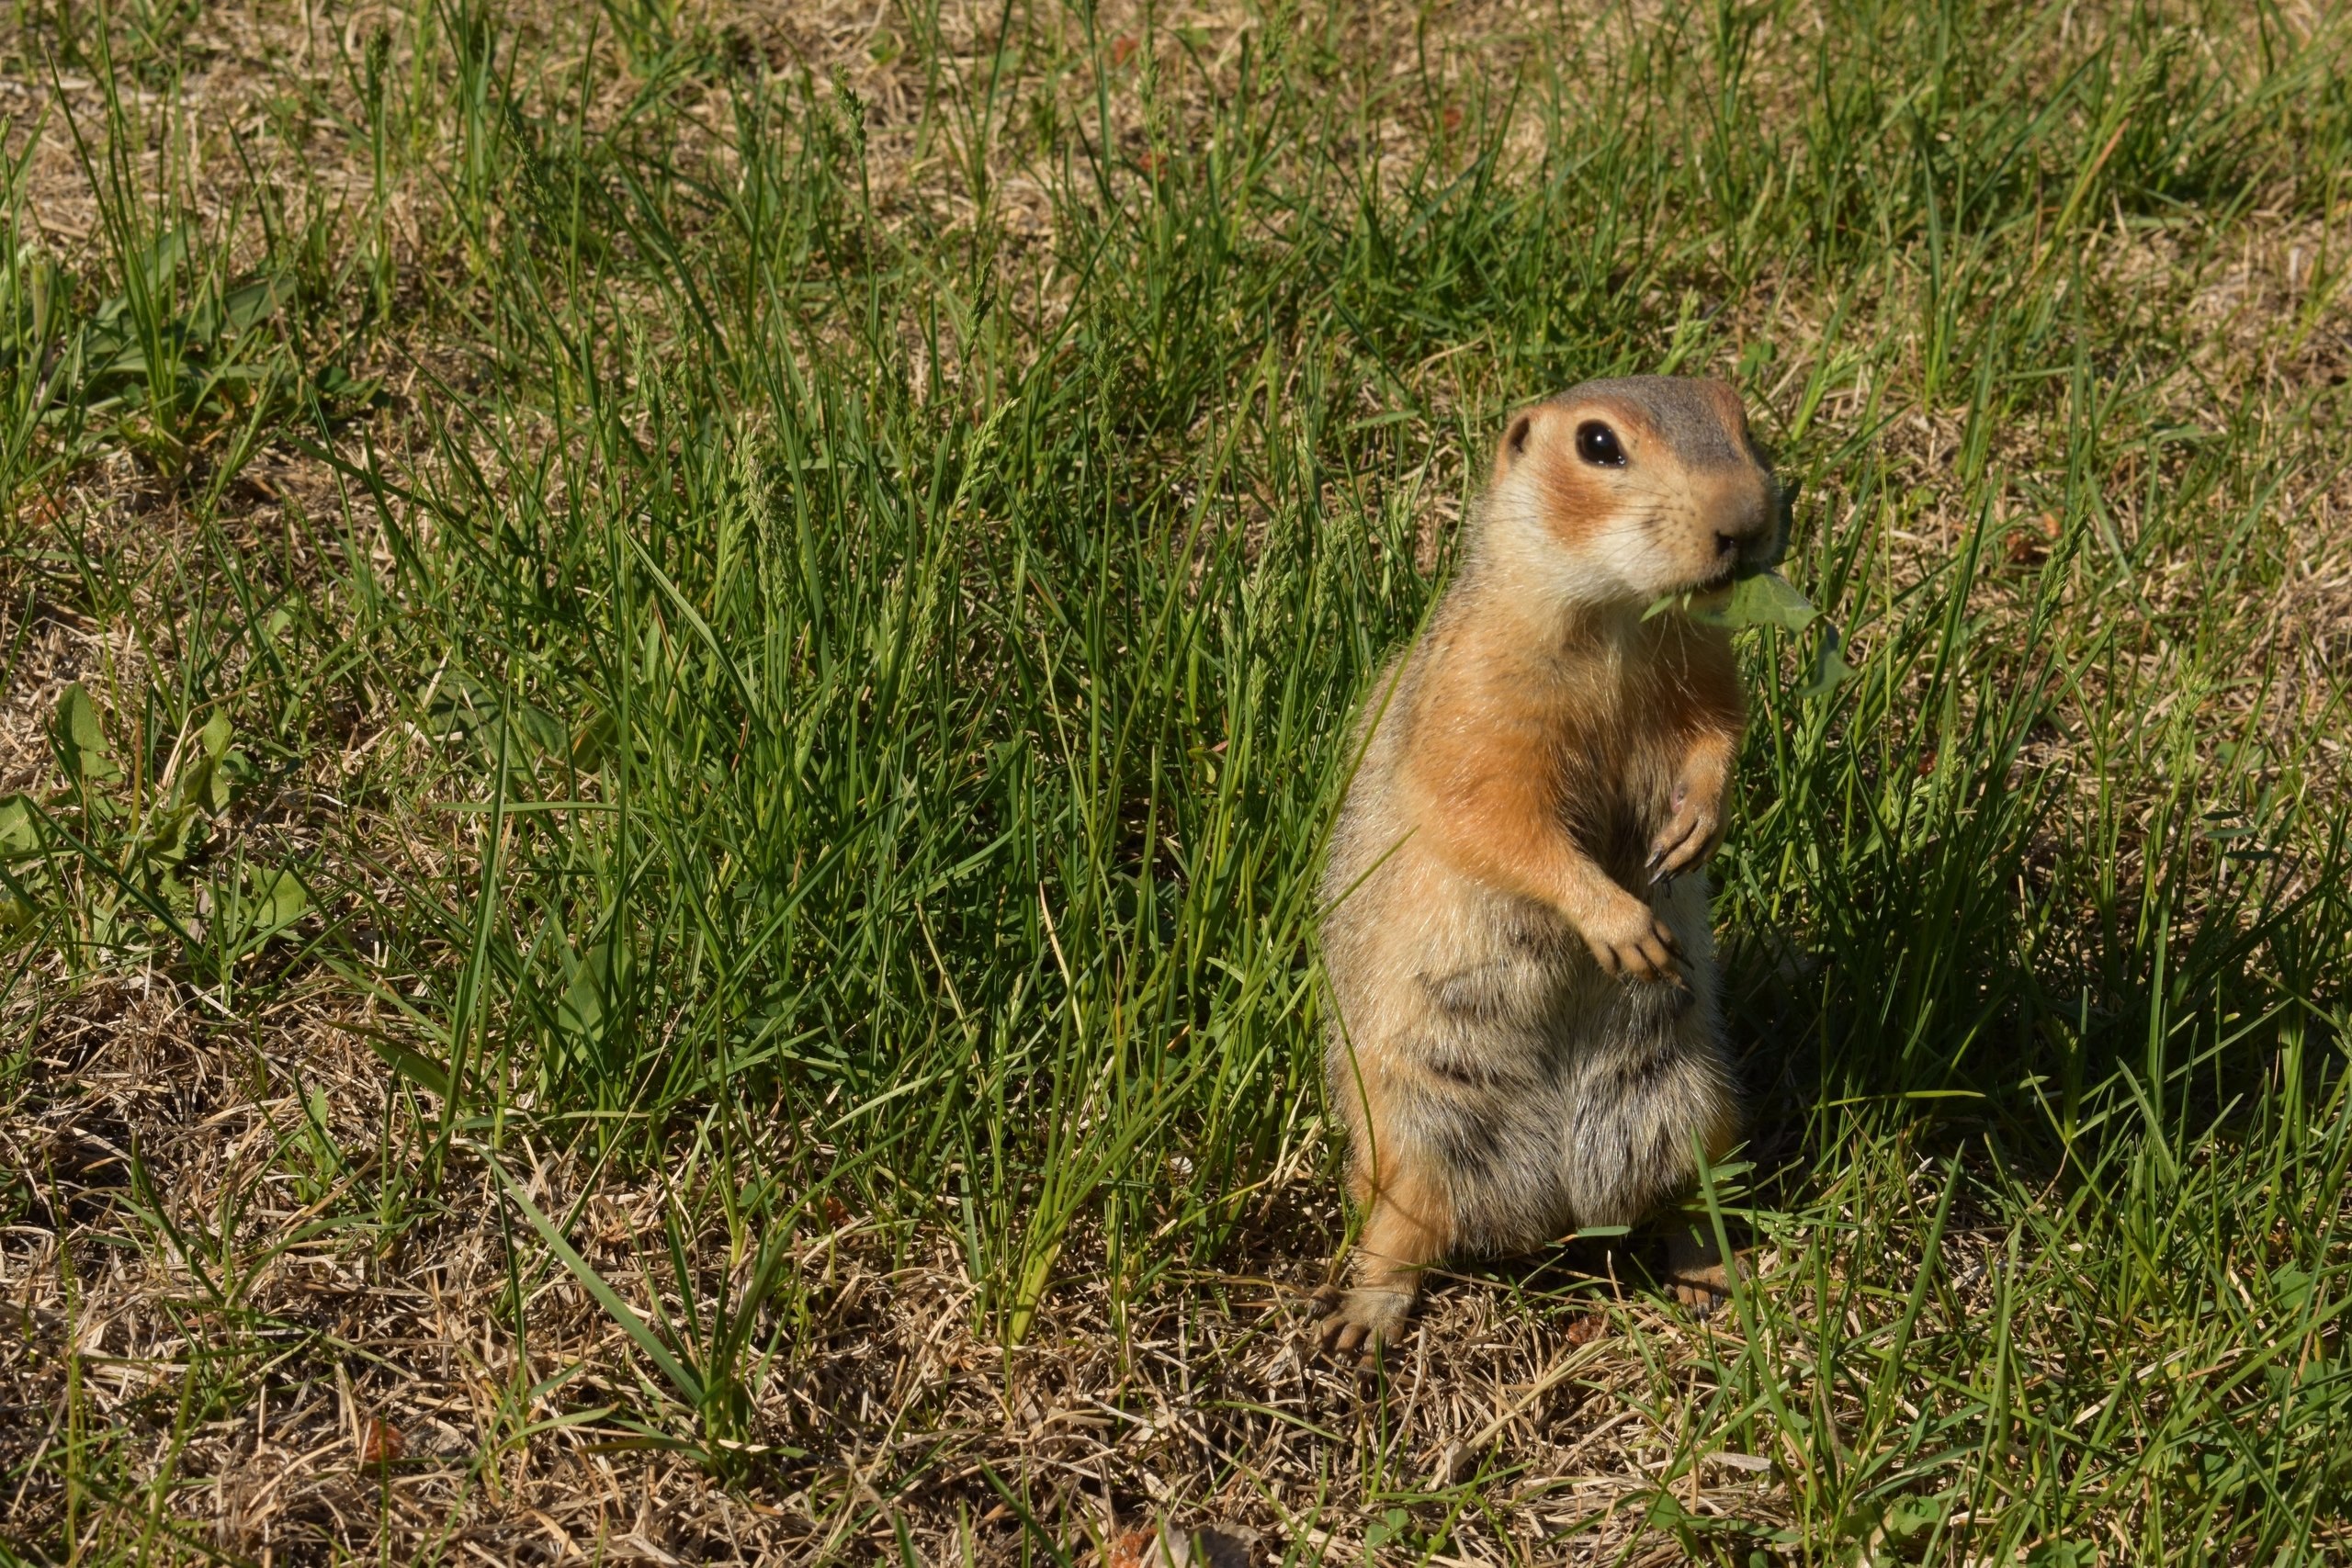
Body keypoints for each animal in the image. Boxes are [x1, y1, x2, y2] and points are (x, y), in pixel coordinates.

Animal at [1307, 373, 1778, 1354]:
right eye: (1598, 445)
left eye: (1740, 415)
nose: (1749, 520)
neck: (1617, 621)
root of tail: (1561, 1205)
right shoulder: (1480, 697)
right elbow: (1500, 818)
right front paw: (1625, 925)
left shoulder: (1704, 664)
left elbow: (1720, 733)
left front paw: (1696, 828)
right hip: (1414, 1127)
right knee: (1404, 1230)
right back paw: (1363, 1315)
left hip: (1696, 1106)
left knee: (1685, 1204)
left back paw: (1713, 1274)